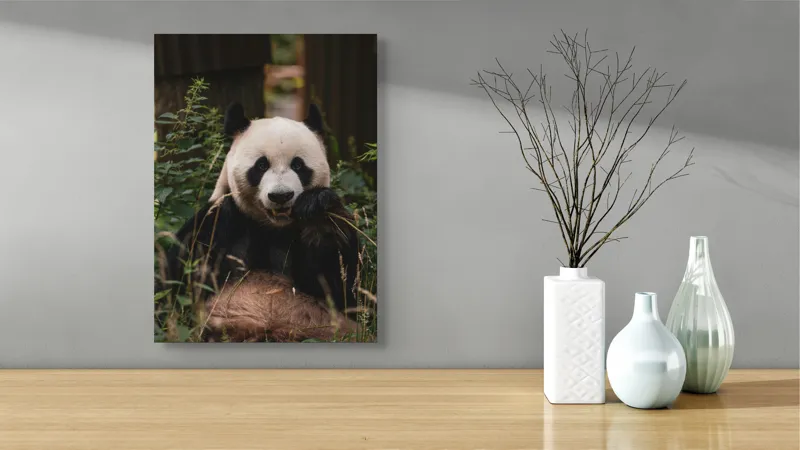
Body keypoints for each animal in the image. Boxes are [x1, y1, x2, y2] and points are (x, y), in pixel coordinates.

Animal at [161, 103, 361, 342]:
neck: (271, 228)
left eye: (298, 165)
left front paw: (317, 208)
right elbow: (175, 282)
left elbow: (343, 289)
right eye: (261, 165)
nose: (281, 196)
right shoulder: (218, 224)